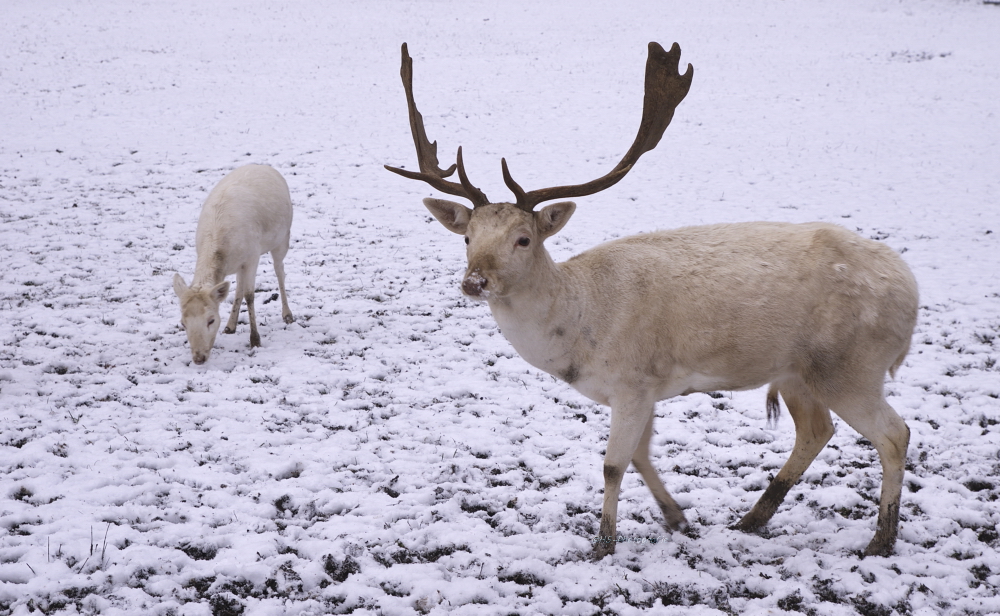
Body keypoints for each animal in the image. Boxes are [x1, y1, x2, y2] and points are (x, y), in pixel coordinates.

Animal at [173, 164, 292, 366]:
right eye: (183, 323)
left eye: (211, 320)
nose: (198, 358)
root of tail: (263, 165)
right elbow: (240, 291)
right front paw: (231, 327)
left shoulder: (253, 256)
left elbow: (250, 295)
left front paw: (255, 340)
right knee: (238, 287)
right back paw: (230, 325)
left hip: (283, 237)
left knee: (280, 271)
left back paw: (288, 315)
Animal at [386, 41, 916, 556]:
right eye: (467, 237)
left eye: (524, 238)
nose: (475, 282)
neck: (577, 333)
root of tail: (911, 290)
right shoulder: (647, 388)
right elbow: (641, 456)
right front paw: (678, 518)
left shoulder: (632, 380)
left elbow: (613, 463)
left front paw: (602, 544)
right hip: (796, 371)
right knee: (816, 430)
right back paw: (751, 520)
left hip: (851, 366)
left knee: (894, 434)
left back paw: (880, 540)